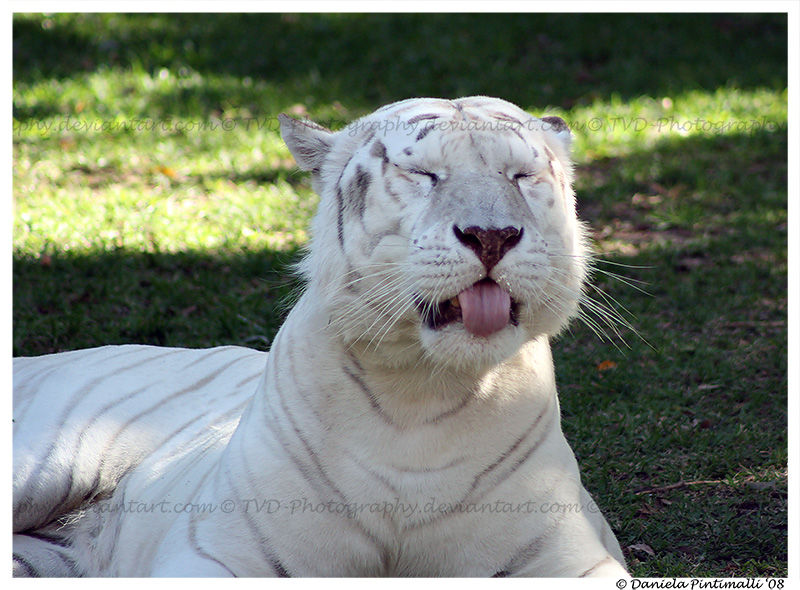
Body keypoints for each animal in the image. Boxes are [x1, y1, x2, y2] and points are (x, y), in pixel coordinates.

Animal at [9, 97, 628, 580]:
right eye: (424, 175)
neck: (422, 393)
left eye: (522, 176)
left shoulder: (569, 556)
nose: (492, 235)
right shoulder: (223, 551)